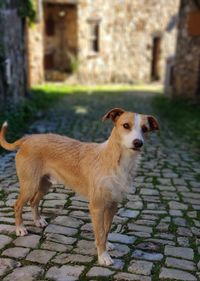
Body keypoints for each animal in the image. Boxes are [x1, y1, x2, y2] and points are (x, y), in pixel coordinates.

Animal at [0, 107, 159, 264]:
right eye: (126, 125)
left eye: (145, 129)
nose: (138, 143)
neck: (116, 160)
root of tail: (28, 138)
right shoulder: (97, 206)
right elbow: (100, 232)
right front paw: (103, 256)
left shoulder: (112, 205)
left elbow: (106, 230)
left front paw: (106, 245)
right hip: (30, 185)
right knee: (17, 205)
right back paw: (20, 228)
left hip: (45, 184)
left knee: (33, 201)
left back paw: (38, 221)